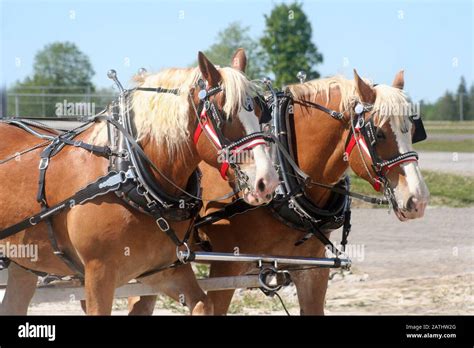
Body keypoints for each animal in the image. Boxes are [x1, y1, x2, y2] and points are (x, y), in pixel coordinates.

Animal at [0, 51, 278, 316]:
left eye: (261, 112)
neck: (129, 174)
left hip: (24, 262)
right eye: (224, 115)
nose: (267, 181)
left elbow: (202, 304)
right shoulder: (98, 274)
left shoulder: (160, 270)